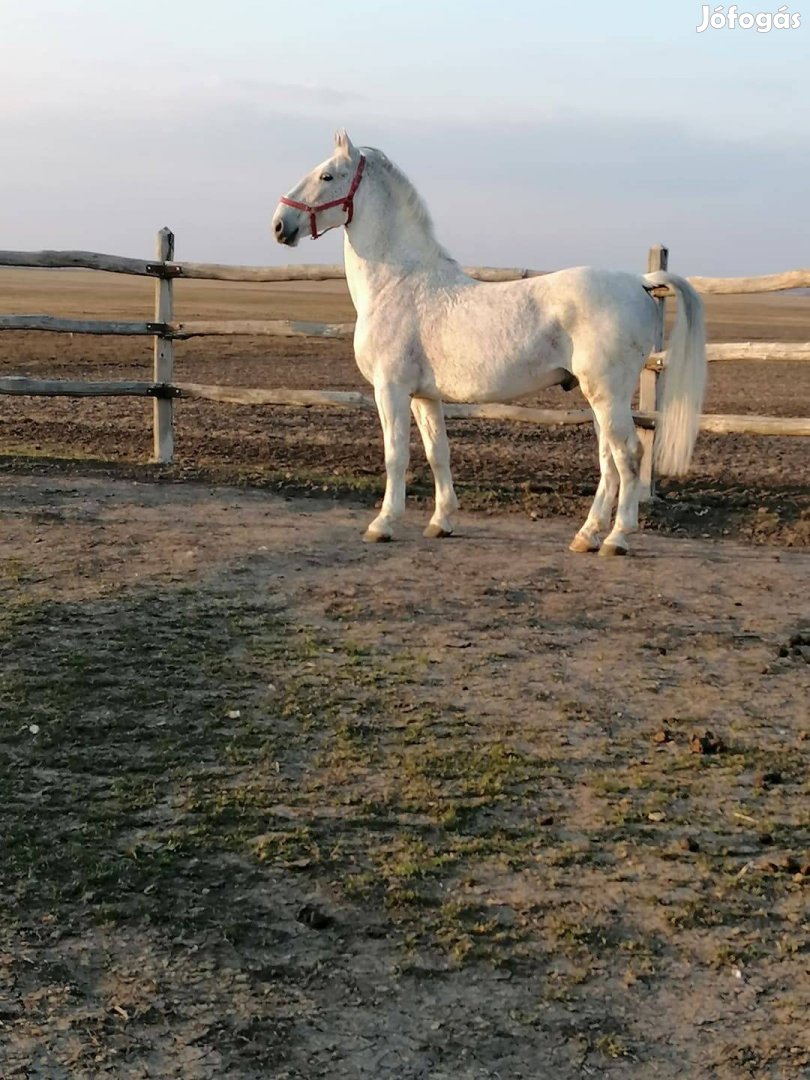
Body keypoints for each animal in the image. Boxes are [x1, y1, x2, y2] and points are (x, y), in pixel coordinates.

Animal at [271, 130, 704, 557]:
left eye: (327, 175)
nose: (279, 225)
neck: (398, 283)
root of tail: (640, 281)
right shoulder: (424, 396)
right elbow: (438, 453)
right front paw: (441, 522)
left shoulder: (390, 389)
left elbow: (395, 455)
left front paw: (383, 524)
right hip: (598, 397)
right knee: (608, 461)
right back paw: (587, 535)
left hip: (607, 394)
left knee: (628, 456)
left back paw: (616, 539)